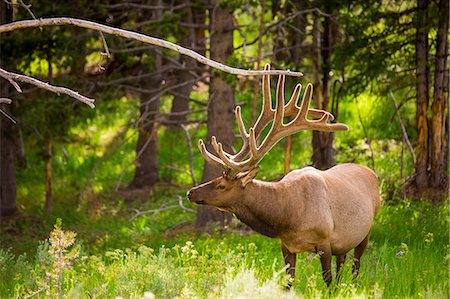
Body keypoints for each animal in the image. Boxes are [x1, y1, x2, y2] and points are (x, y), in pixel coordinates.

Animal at [186, 64, 380, 288]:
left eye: (221, 186)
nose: (190, 193)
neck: (286, 217)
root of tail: (371, 172)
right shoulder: (286, 246)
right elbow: (288, 283)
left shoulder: (324, 241)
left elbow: (328, 281)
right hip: (344, 243)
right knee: (343, 264)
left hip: (366, 231)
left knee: (356, 267)